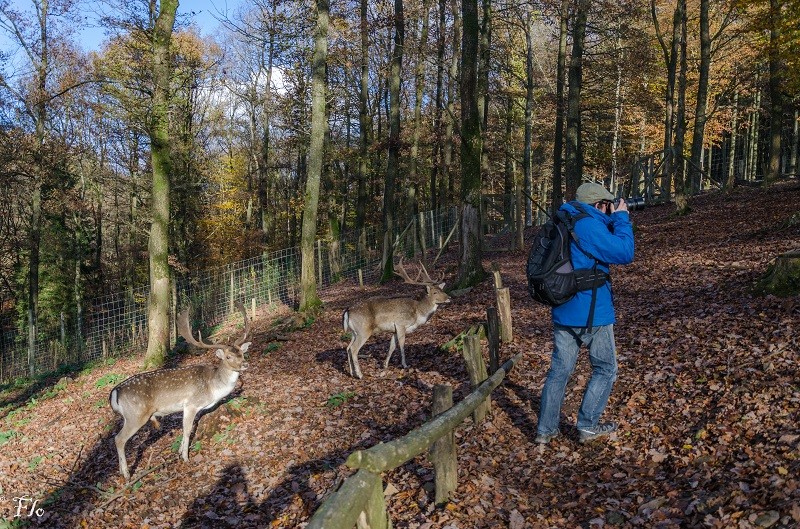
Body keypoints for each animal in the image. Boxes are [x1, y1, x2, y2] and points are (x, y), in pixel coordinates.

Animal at [107, 302, 250, 478]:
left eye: (242, 352)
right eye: (228, 357)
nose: (245, 364)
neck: (213, 388)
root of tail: (115, 392)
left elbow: (185, 429)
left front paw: (180, 452)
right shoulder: (191, 404)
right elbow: (187, 430)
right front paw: (186, 458)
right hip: (136, 415)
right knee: (119, 439)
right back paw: (127, 474)